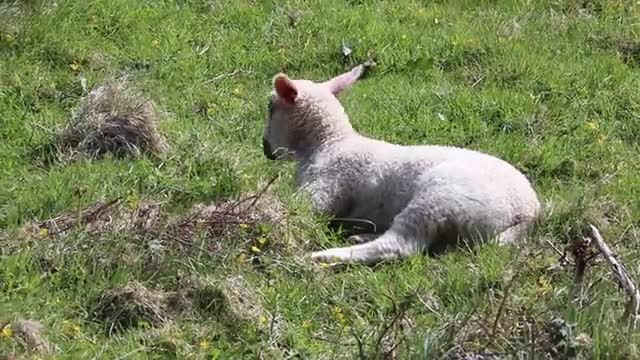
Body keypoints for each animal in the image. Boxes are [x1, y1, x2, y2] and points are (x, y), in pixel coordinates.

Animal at [262, 63, 544, 266]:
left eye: (270, 108)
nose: (266, 149)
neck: (330, 143)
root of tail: (528, 213)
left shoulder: (327, 186)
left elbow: (297, 210)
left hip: (440, 199)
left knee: (400, 246)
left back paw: (327, 257)